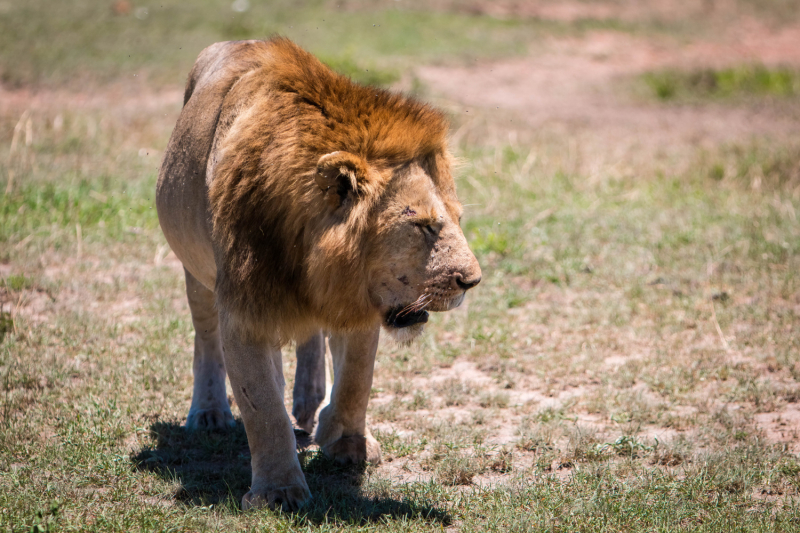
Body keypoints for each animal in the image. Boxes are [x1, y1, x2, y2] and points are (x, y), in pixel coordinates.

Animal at [156, 38, 482, 512]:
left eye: (457, 218)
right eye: (423, 225)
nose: (472, 281)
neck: (312, 256)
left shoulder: (363, 301)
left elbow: (356, 380)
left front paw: (348, 444)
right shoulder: (245, 310)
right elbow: (263, 408)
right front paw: (278, 491)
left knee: (312, 338)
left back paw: (310, 404)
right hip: (195, 274)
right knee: (206, 339)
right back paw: (210, 412)